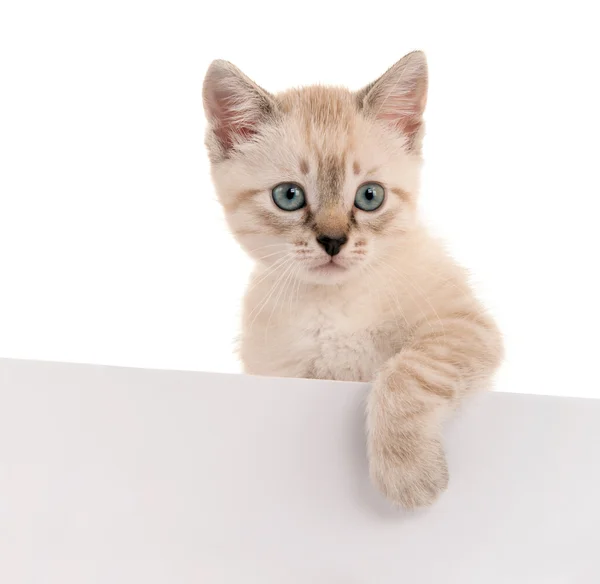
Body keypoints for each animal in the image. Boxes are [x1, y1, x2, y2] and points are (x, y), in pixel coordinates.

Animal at [202, 50, 502, 506]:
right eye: (288, 196)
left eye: (370, 196)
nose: (332, 241)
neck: (333, 305)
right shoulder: (281, 375)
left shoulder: (462, 326)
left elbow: (407, 371)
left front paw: (407, 472)